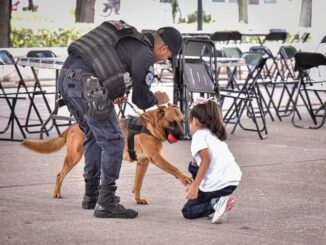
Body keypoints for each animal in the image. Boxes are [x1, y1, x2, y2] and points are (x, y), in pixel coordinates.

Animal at [22, 104, 191, 204]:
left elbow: (138, 184)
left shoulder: (142, 163)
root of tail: (72, 125)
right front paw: (185, 177)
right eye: (172, 122)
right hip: (74, 156)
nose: (184, 136)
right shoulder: (156, 158)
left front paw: (137, 199)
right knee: (60, 175)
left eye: (183, 121)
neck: (150, 126)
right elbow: (174, 167)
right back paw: (57, 193)